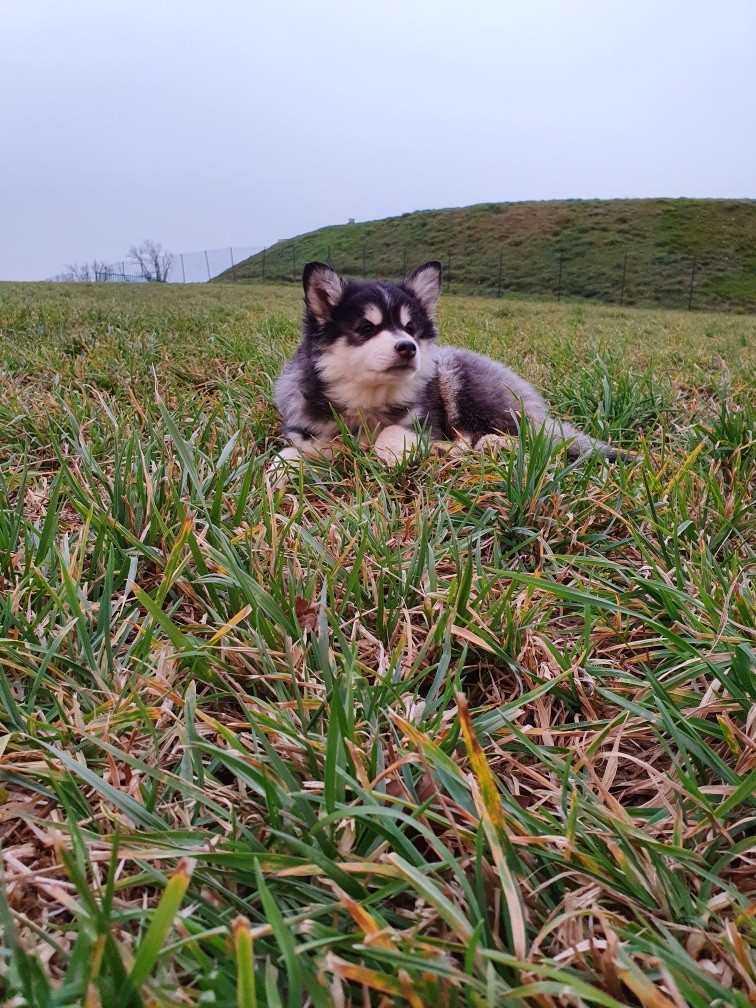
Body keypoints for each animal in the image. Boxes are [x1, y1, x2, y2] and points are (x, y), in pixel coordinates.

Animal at [276, 262, 624, 477]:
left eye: (410, 328)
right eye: (365, 328)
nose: (408, 347)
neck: (369, 400)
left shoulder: (423, 420)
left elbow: (392, 431)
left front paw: (392, 453)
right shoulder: (305, 431)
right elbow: (297, 451)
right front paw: (280, 472)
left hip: (457, 377)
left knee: (526, 437)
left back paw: (488, 445)